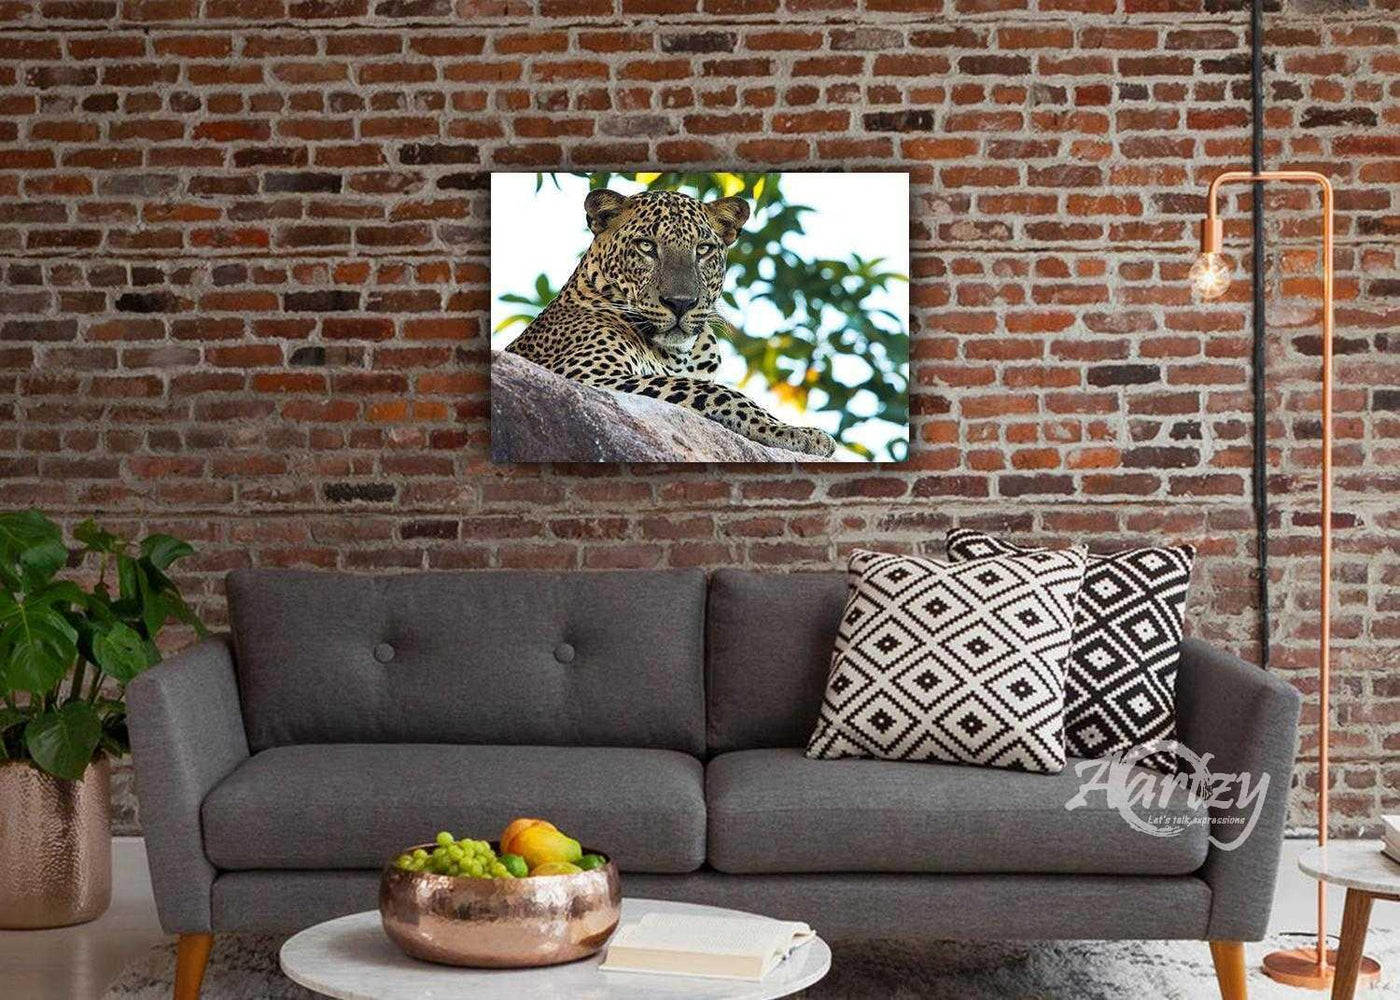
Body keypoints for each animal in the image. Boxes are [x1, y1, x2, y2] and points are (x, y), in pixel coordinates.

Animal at [504, 187, 838, 458]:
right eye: (646, 246)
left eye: (703, 249)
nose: (681, 303)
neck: (680, 355)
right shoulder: (586, 375)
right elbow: (716, 391)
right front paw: (796, 433)